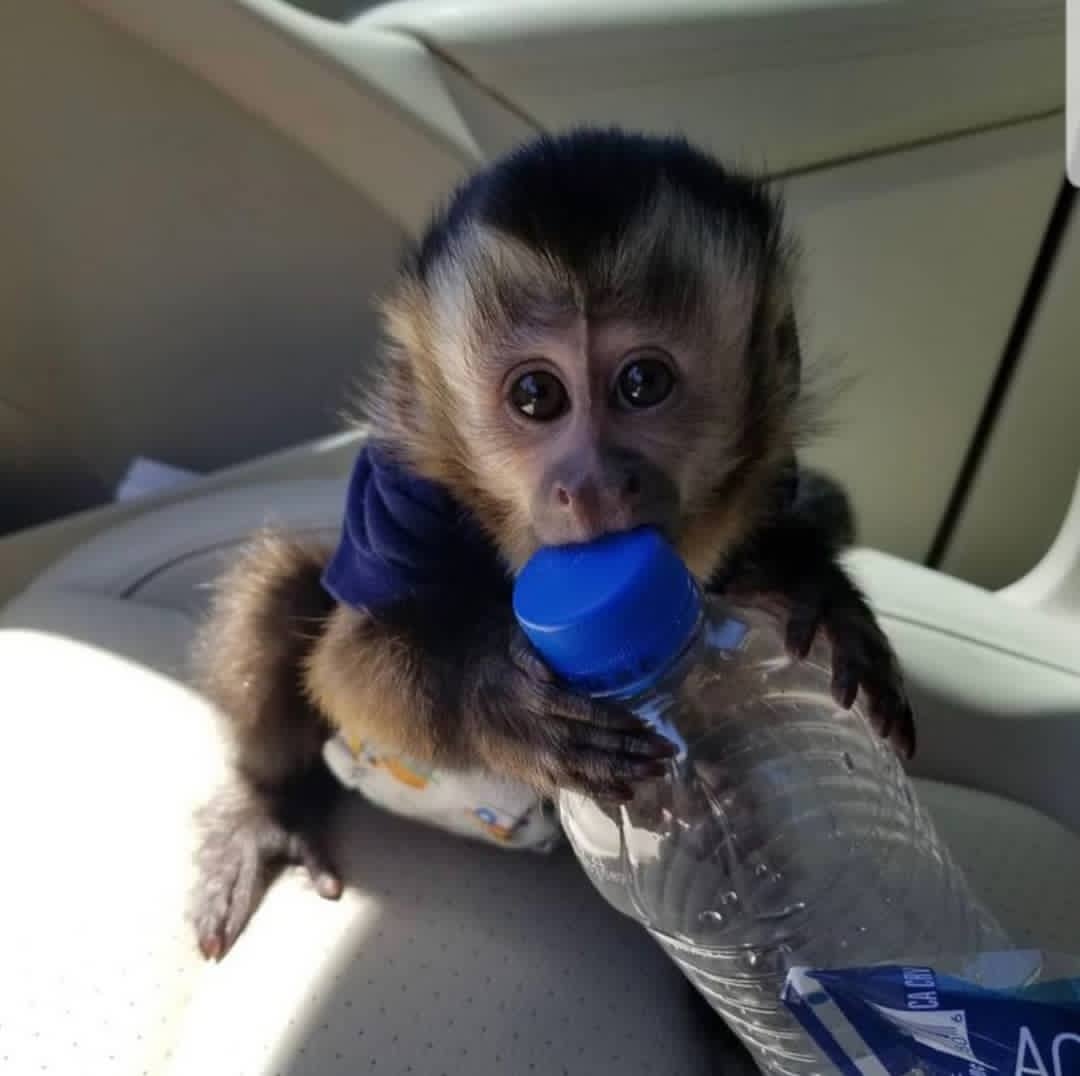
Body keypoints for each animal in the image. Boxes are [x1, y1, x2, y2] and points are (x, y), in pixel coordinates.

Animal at [188, 128, 914, 962]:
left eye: (642, 382)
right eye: (537, 396)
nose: (594, 483)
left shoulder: (773, 470)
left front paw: (816, 596)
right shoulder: (396, 496)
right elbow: (346, 666)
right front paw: (499, 700)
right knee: (282, 595)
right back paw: (264, 810)